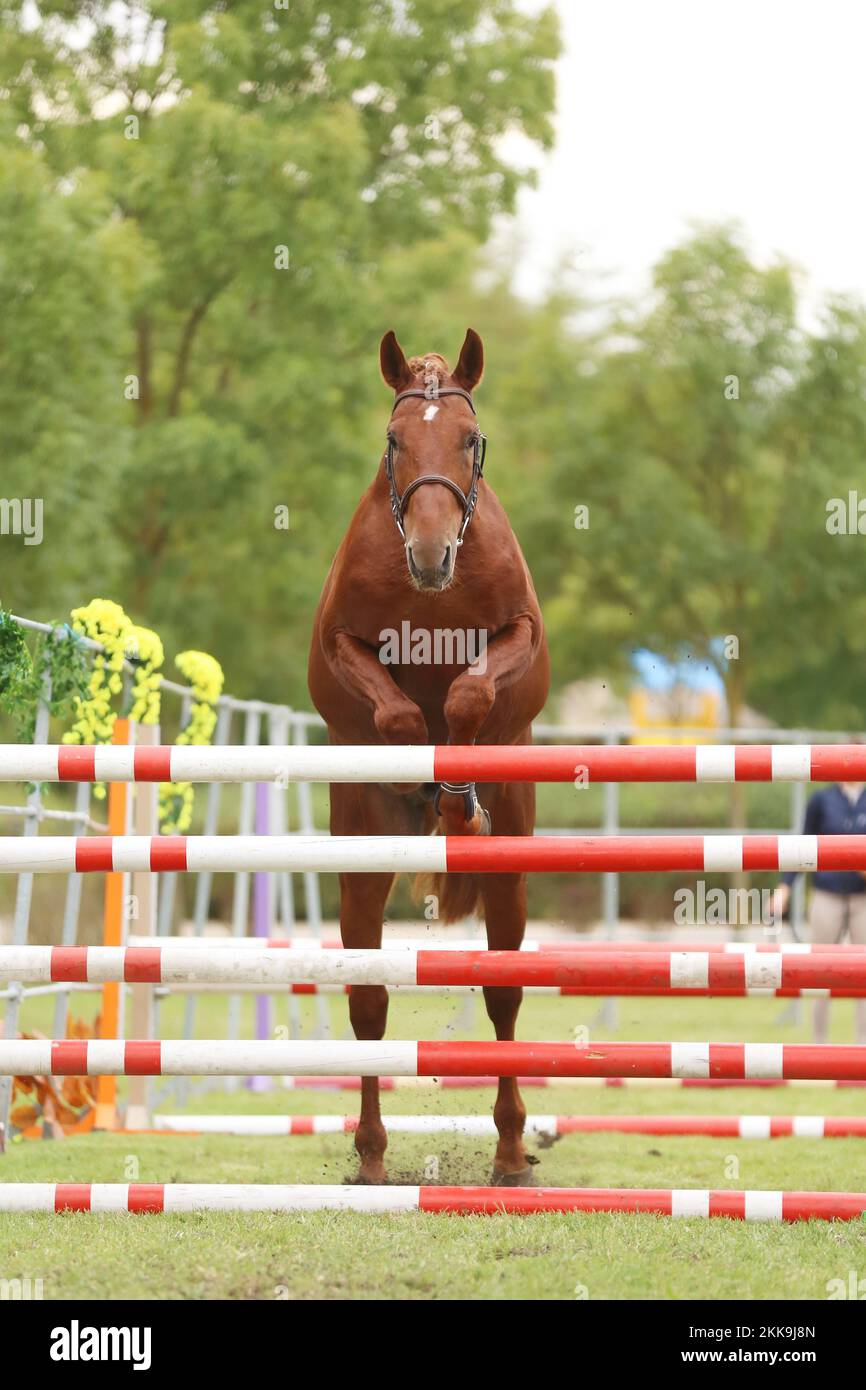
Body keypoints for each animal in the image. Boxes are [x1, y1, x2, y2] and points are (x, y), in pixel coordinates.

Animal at [308, 328, 550, 1184]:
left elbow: (472, 696)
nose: (432, 554)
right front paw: (423, 765)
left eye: (470, 440)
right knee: (369, 1001)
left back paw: (510, 1150)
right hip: (359, 860)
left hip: (513, 860)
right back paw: (373, 1155)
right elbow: (397, 710)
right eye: (394, 441)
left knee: (505, 992)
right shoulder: (339, 649)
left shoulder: (519, 638)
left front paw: (454, 788)